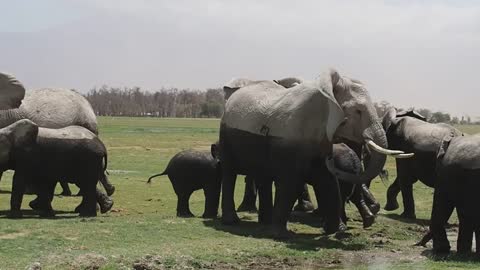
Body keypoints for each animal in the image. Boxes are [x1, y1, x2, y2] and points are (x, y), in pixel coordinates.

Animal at [219, 69, 410, 236]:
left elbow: (327, 180)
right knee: (229, 172)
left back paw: (264, 222)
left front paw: (334, 230)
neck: (327, 94)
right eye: (358, 111)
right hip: (225, 133)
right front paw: (281, 235)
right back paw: (232, 221)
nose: (333, 158)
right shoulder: (290, 136)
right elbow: (290, 182)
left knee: (262, 177)